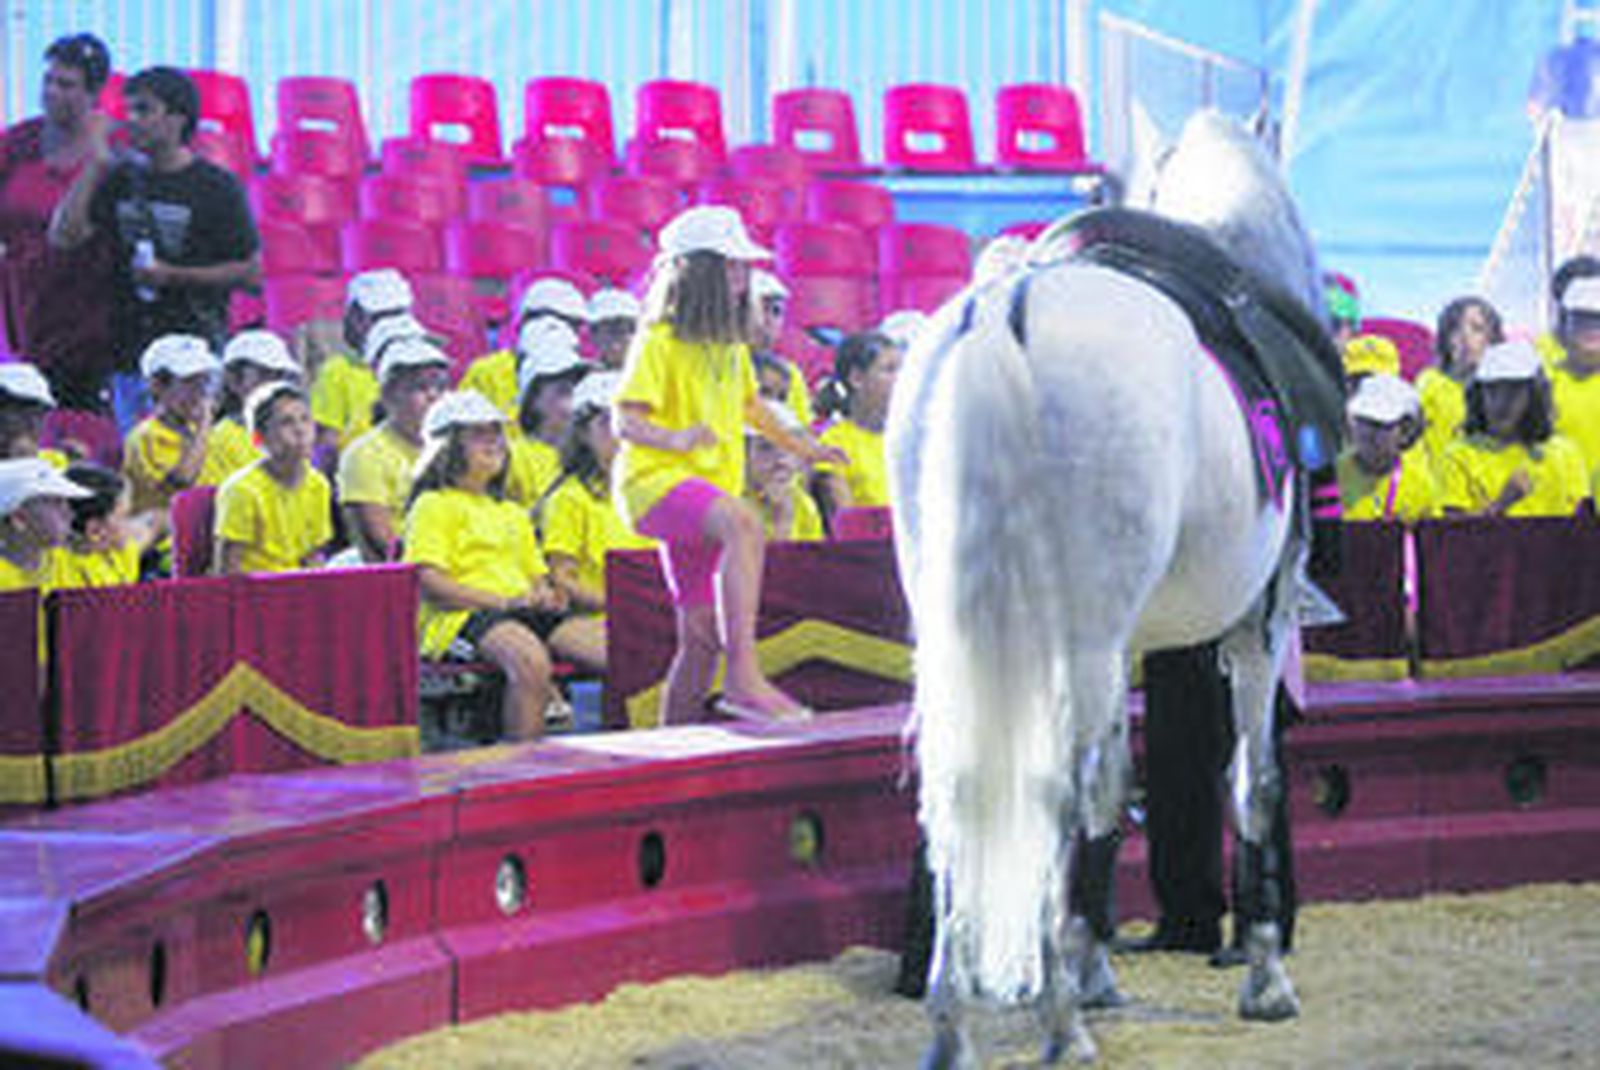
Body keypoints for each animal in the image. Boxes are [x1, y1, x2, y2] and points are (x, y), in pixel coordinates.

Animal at [885, 110, 1334, 1066]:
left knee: (962, 791)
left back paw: (953, 1022)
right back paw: (1060, 1023)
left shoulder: (1129, 645)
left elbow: (1115, 788)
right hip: (1083, 636)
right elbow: (1254, 782)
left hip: (957, 632)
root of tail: (1005, 312)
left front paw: (1096, 967)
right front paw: (1265, 977)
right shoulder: (1259, 626)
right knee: (1055, 785)